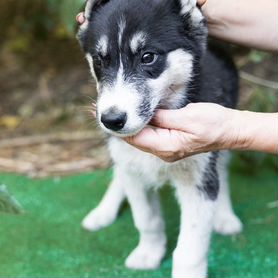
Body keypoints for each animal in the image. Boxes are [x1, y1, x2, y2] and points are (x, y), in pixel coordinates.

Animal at [77, 0, 241, 278]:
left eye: (148, 57)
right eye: (100, 60)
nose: (111, 120)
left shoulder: (198, 178)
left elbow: (190, 249)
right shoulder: (132, 168)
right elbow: (146, 219)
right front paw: (148, 253)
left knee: (222, 170)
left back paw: (224, 215)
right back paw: (103, 211)